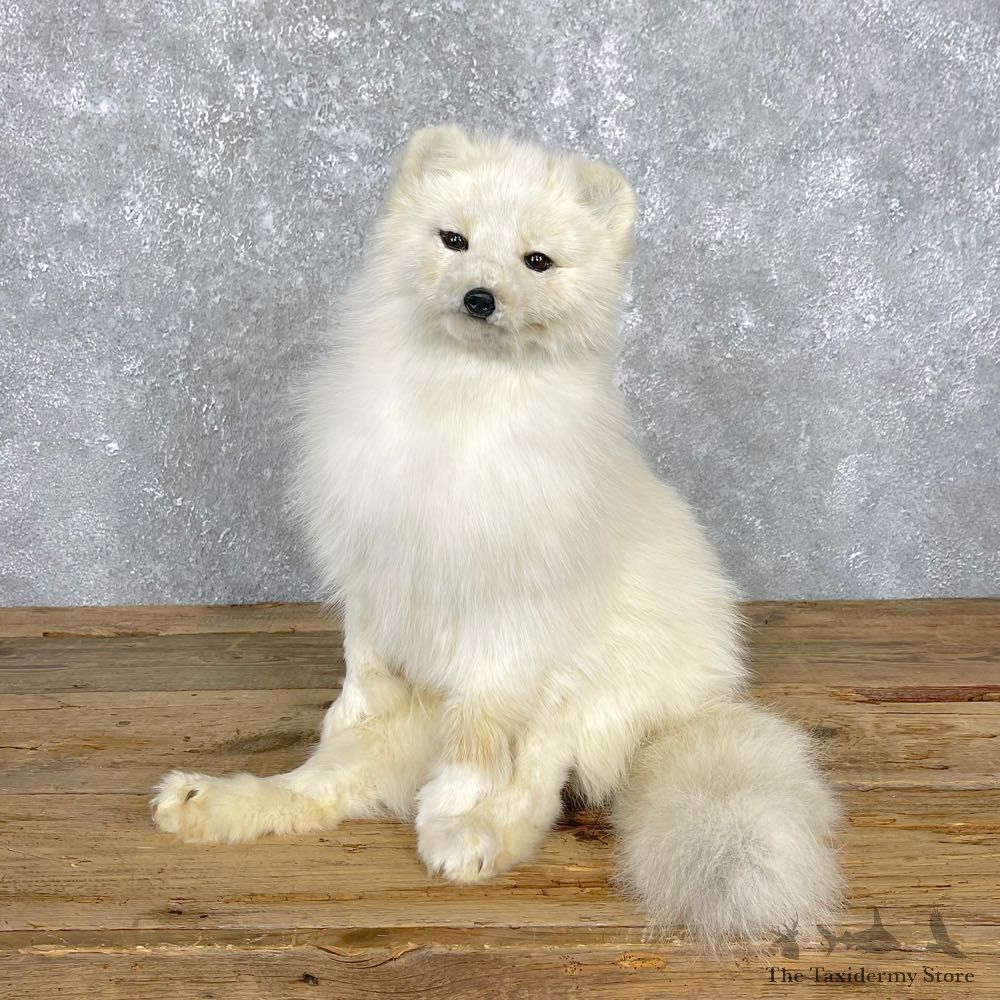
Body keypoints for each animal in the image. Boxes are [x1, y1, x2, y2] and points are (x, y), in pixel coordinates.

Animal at [152, 125, 842, 949]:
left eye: (535, 261)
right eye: (454, 240)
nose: (479, 297)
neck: (456, 402)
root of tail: (694, 709)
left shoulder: (505, 624)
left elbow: (479, 743)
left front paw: (457, 813)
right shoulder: (376, 575)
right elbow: (359, 679)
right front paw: (350, 717)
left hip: (578, 692)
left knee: (536, 783)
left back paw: (474, 836)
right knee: (325, 787)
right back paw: (205, 802)